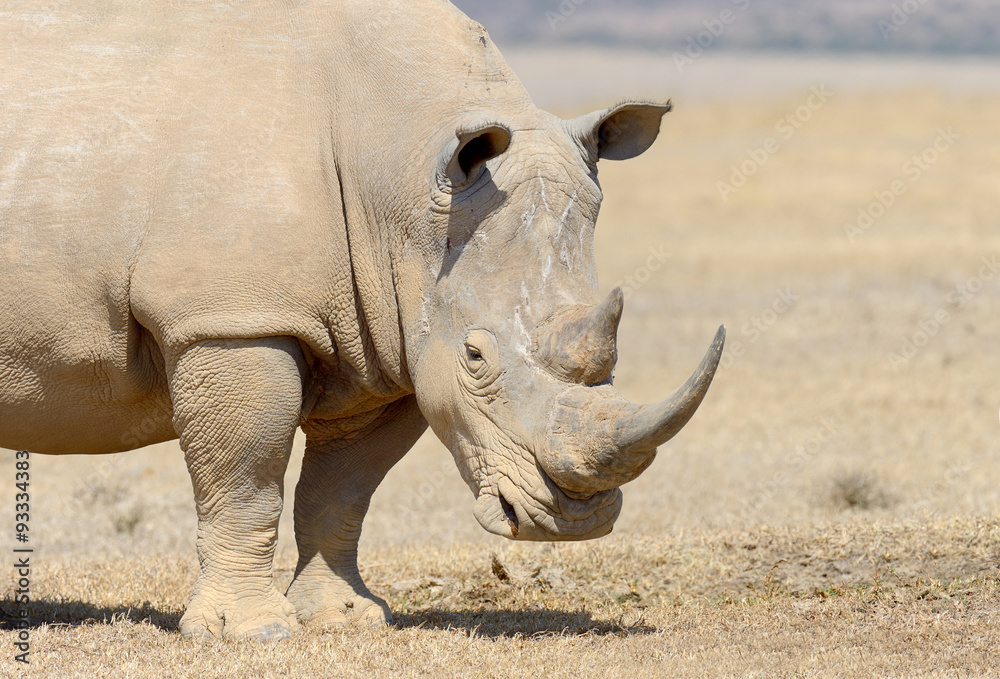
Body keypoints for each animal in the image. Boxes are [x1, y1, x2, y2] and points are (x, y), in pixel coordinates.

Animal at [0, 0, 724, 640]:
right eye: (475, 359)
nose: (576, 520)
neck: (404, 166)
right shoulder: (233, 317)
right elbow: (245, 477)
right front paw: (252, 633)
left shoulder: (392, 336)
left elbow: (343, 490)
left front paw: (345, 619)